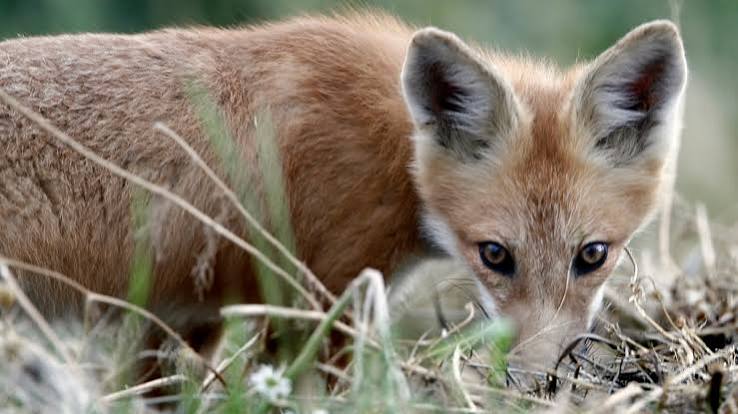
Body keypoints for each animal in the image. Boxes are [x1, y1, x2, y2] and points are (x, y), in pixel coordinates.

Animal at [0, 12, 687, 369]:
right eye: (495, 255)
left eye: (592, 256)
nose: (532, 381)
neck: (395, 151)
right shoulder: (321, 303)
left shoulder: (183, 315)